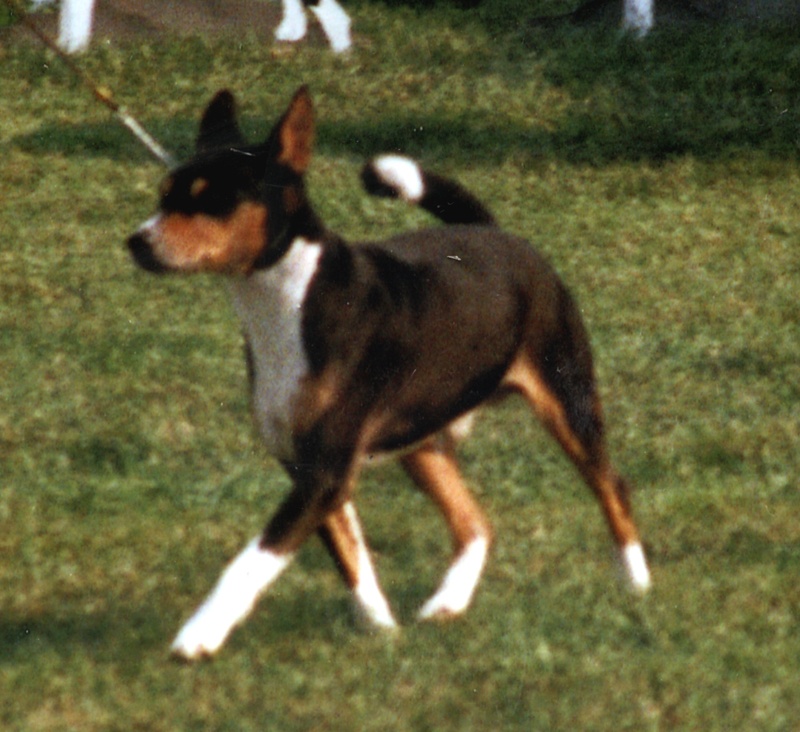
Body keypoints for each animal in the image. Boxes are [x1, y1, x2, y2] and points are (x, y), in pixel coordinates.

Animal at [126, 88, 648, 660]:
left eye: (212, 200)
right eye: (163, 196)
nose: (136, 241)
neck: (289, 303)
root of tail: (497, 233)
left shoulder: (325, 469)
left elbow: (251, 562)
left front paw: (198, 635)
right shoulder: (309, 468)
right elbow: (351, 557)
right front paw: (380, 629)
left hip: (567, 401)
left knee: (612, 487)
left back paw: (636, 583)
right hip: (422, 441)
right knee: (476, 524)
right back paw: (447, 603)